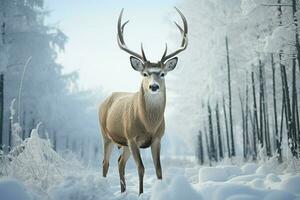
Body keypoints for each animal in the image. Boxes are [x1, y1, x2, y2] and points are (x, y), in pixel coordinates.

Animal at [98, 7, 188, 195]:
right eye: (145, 73)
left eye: (162, 73)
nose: (153, 86)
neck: (148, 124)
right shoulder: (132, 137)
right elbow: (141, 168)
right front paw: (140, 193)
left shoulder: (157, 138)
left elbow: (159, 169)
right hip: (106, 135)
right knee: (105, 162)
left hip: (123, 143)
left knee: (120, 162)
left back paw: (123, 192)